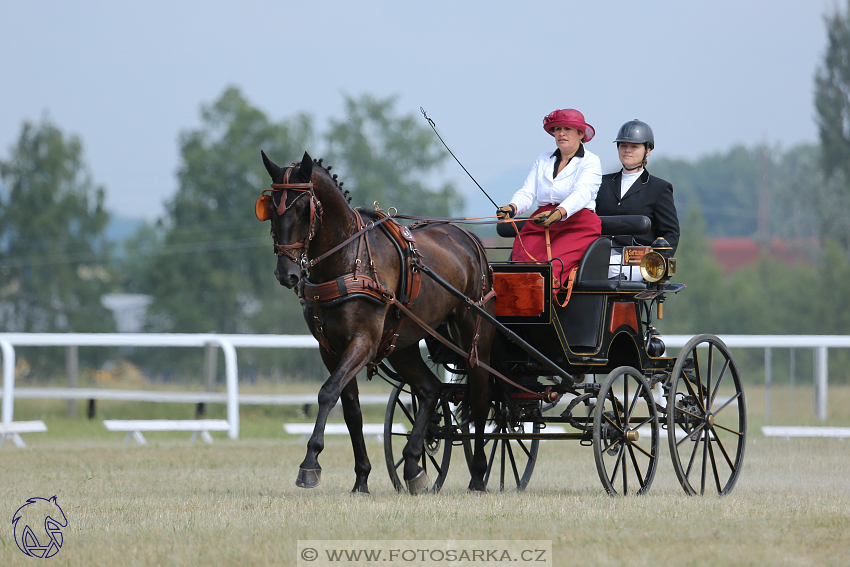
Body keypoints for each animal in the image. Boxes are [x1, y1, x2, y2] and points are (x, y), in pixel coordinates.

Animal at [258, 153, 496, 494]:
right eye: (270, 207)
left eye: (304, 208)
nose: (286, 273)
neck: (347, 260)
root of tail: (469, 239)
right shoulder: (329, 349)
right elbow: (351, 408)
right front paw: (361, 477)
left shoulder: (364, 341)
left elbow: (327, 393)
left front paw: (310, 462)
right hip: (402, 344)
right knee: (430, 389)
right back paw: (413, 465)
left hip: (475, 334)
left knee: (479, 398)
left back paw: (477, 475)